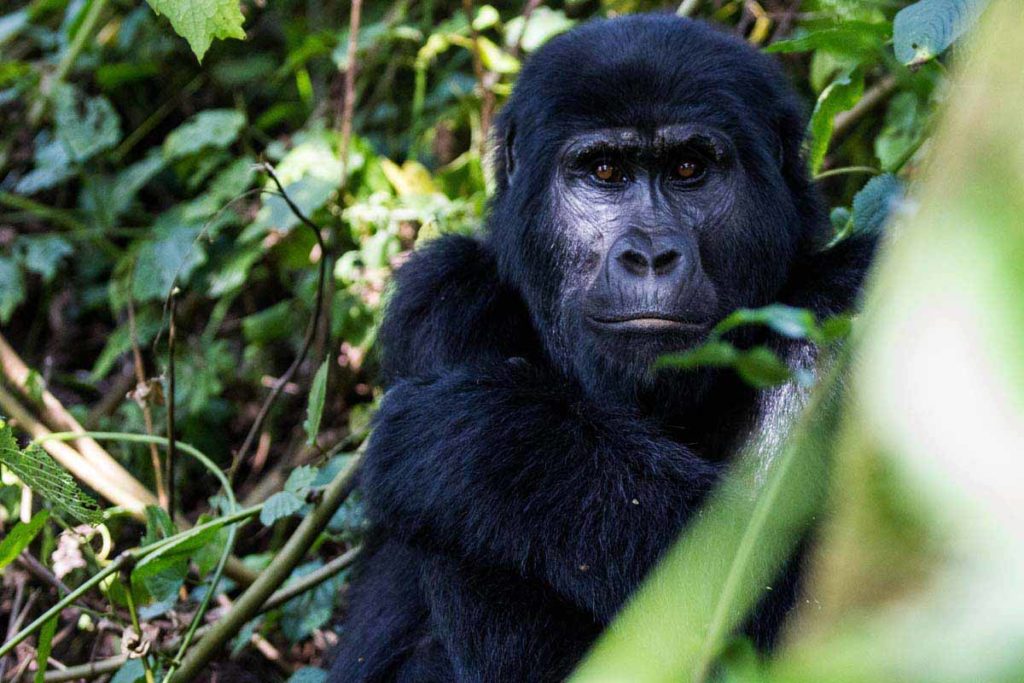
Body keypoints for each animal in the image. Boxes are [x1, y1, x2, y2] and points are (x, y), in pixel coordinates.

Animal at [331, 12, 876, 683]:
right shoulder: (440, 300)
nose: (650, 255)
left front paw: (486, 442)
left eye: (689, 169)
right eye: (606, 173)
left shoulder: (851, 300)